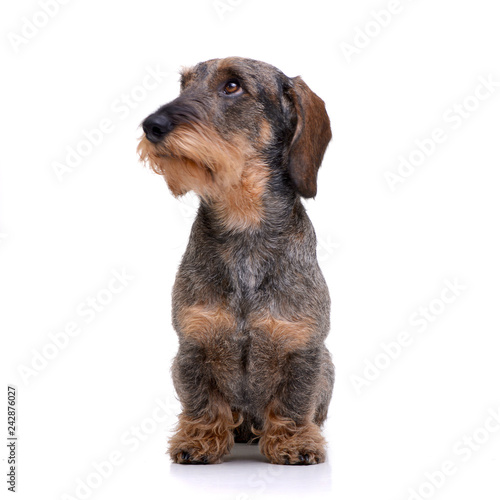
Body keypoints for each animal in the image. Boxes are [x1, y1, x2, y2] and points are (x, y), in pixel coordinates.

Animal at [137, 57, 334, 464]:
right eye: (184, 85)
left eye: (232, 86)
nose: (152, 125)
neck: (244, 228)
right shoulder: (193, 344)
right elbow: (203, 402)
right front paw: (200, 440)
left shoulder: (304, 347)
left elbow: (293, 403)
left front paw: (293, 442)